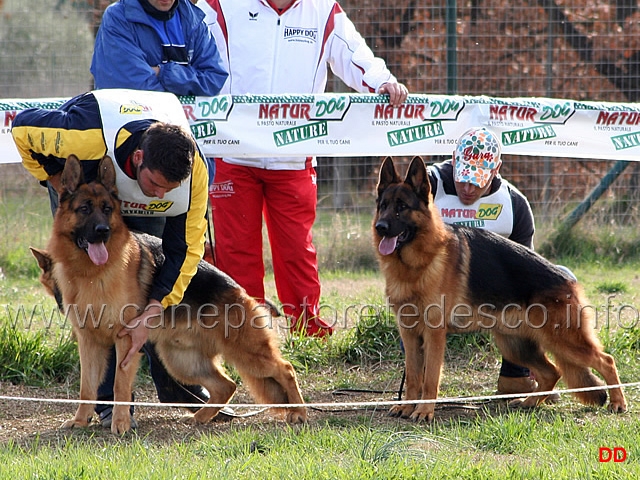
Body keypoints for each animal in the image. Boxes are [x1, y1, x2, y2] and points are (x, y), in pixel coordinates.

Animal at [31, 157, 306, 436]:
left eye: (107, 209)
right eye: (85, 208)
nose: (103, 230)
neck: (91, 273)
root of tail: (240, 290)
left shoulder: (126, 340)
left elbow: (120, 384)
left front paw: (121, 424)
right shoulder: (89, 343)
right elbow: (87, 387)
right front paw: (80, 420)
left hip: (246, 353)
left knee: (285, 369)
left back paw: (300, 412)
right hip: (181, 361)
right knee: (226, 385)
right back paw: (201, 417)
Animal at [372, 157, 628, 420]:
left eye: (402, 207)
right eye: (383, 205)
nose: (380, 227)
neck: (417, 262)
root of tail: (567, 281)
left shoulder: (434, 334)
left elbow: (430, 378)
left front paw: (424, 411)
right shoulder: (409, 334)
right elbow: (413, 376)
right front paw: (407, 406)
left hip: (562, 341)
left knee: (606, 360)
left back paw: (618, 402)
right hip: (516, 345)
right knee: (552, 372)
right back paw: (529, 402)